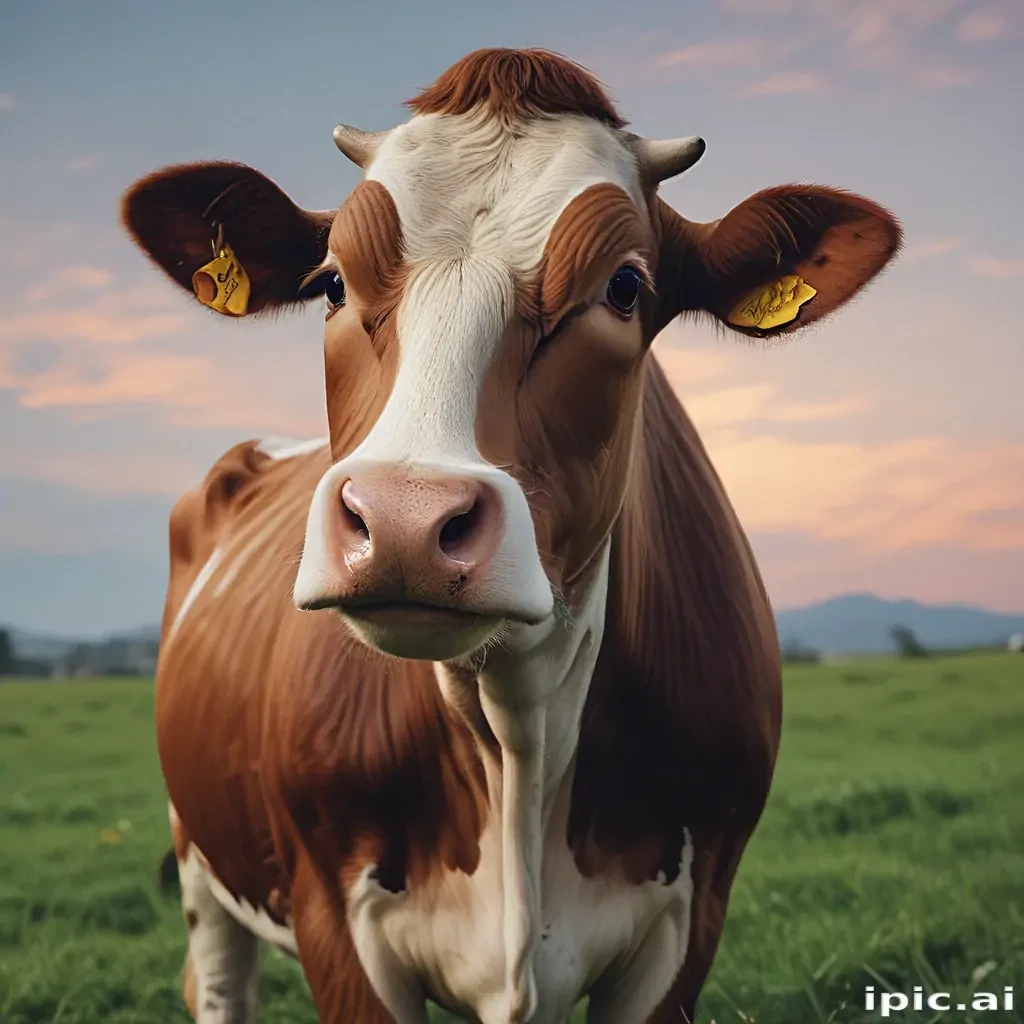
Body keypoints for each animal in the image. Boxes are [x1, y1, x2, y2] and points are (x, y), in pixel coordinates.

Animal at [122, 48, 901, 1024]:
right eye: (333, 281)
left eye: (624, 287)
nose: (404, 519)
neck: (522, 726)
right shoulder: (332, 918)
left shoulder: (692, 922)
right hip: (198, 856)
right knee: (221, 982)